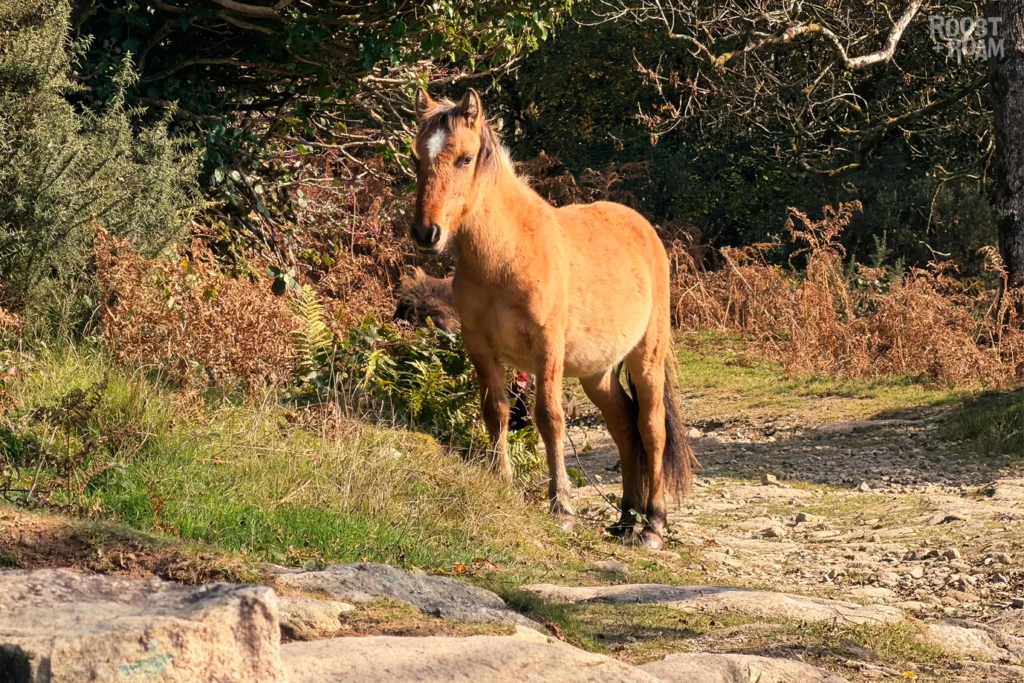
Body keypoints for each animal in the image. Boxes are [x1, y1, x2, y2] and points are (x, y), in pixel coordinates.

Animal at [408, 87, 697, 549]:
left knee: (651, 429)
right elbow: (496, 411)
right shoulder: (480, 347)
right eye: (417, 157)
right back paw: (626, 519)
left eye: (464, 159)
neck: (504, 254)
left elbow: (549, 418)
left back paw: (653, 524)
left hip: (646, 359)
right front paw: (502, 483)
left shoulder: (547, 349)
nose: (425, 233)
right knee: (624, 426)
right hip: (597, 373)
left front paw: (562, 507)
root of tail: (643, 231)